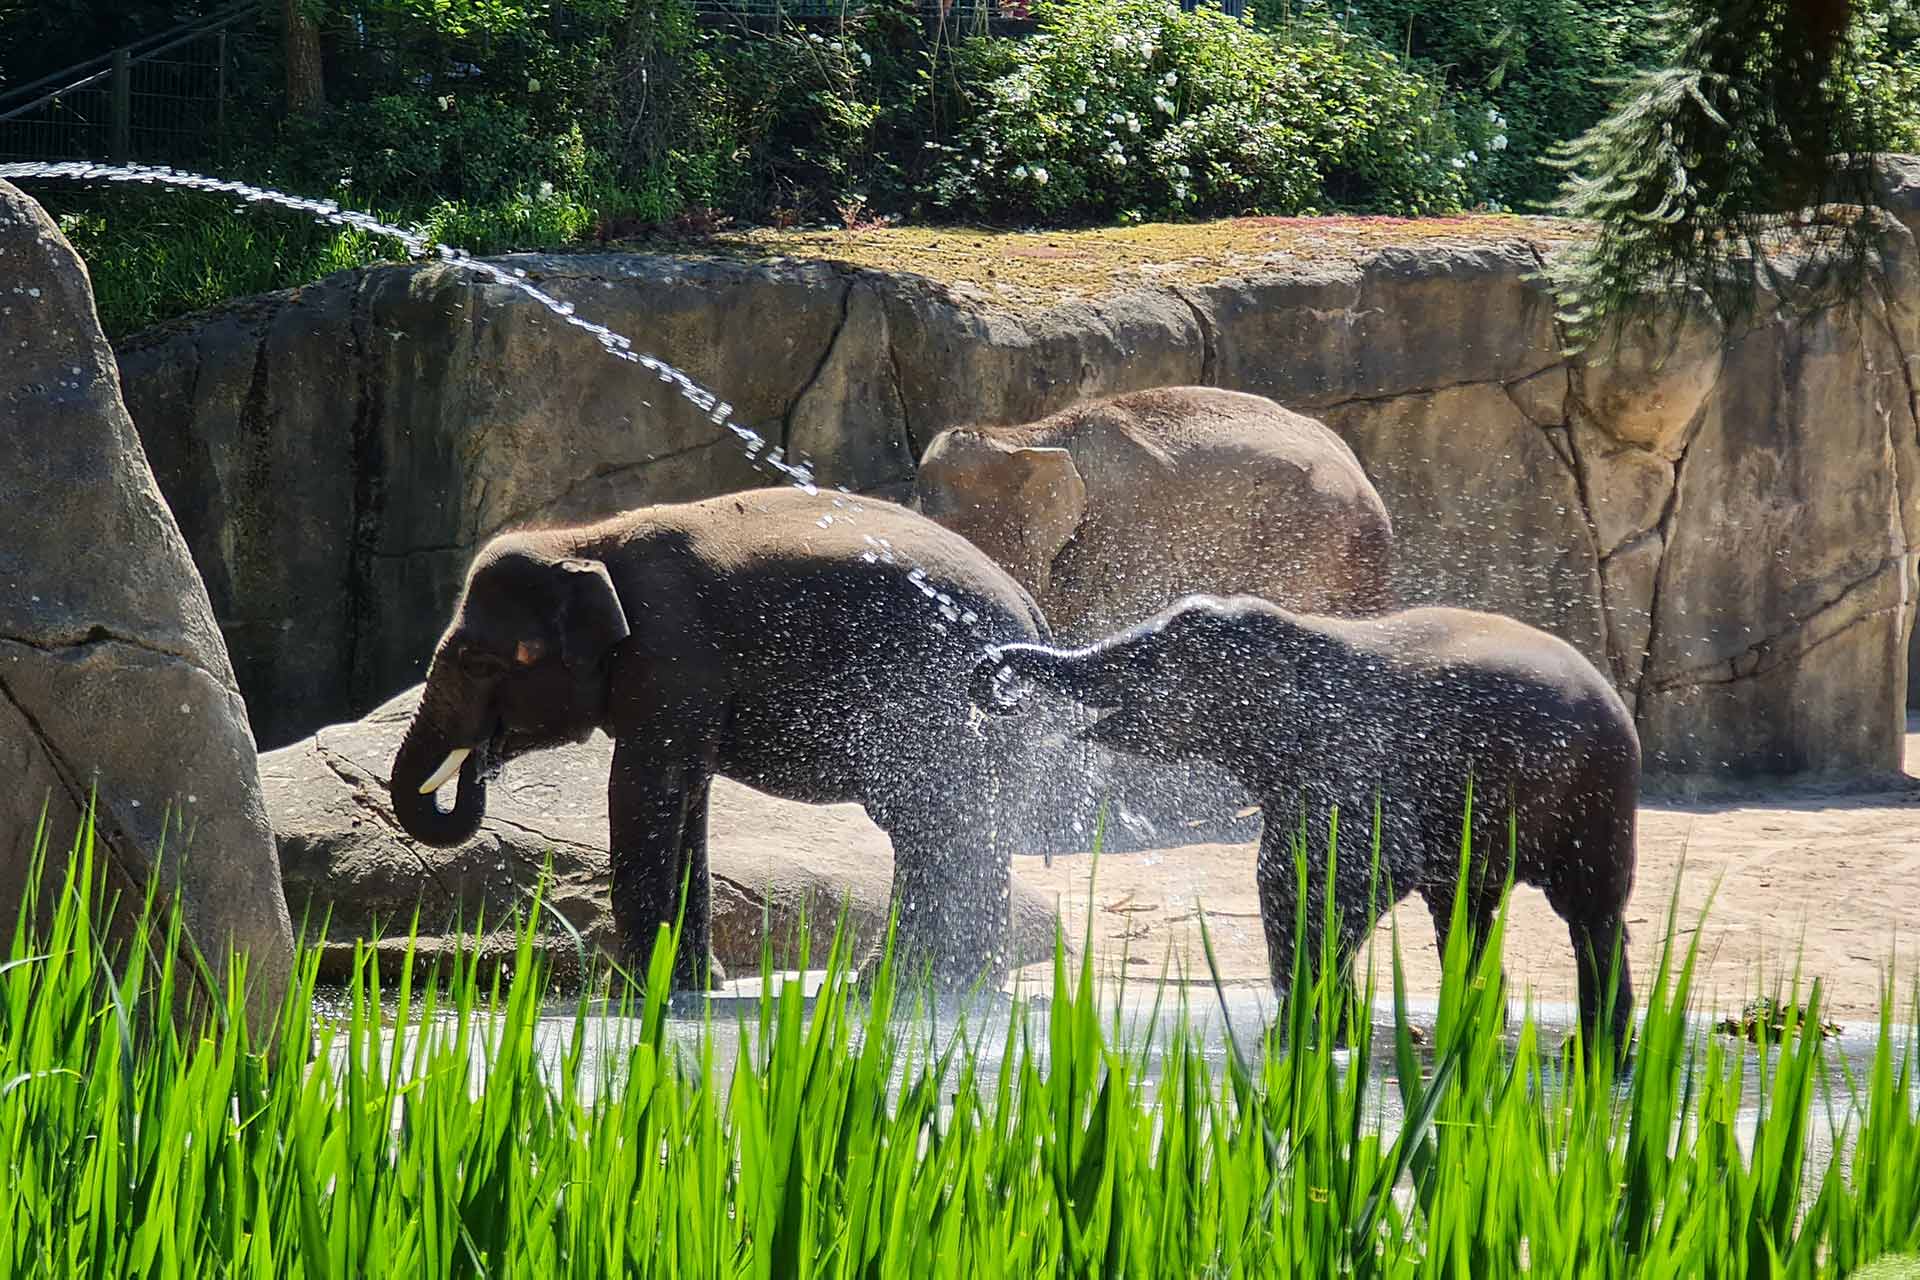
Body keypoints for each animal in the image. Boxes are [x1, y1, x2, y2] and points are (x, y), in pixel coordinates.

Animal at [385, 485, 1052, 997]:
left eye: (477, 662)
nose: (478, 762)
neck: (587, 541)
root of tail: (1031, 607)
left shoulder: (670, 657)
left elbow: (641, 790)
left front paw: (634, 993)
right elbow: (686, 798)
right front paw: (692, 984)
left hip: (940, 704)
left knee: (928, 822)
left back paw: (896, 985)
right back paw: (943, 983)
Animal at [967, 594, 1643, 1059]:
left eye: (1154, 659)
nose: (992, 675)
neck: (1298, 632)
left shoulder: (1356, 761)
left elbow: (1341, 882)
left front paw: (1310, 1040)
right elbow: (1283, 876)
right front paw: (1319, 1037)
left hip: (1597, 797)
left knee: (1589, 914)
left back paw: (1591, 1053)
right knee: (1464, 906)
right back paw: (1467, 1031)